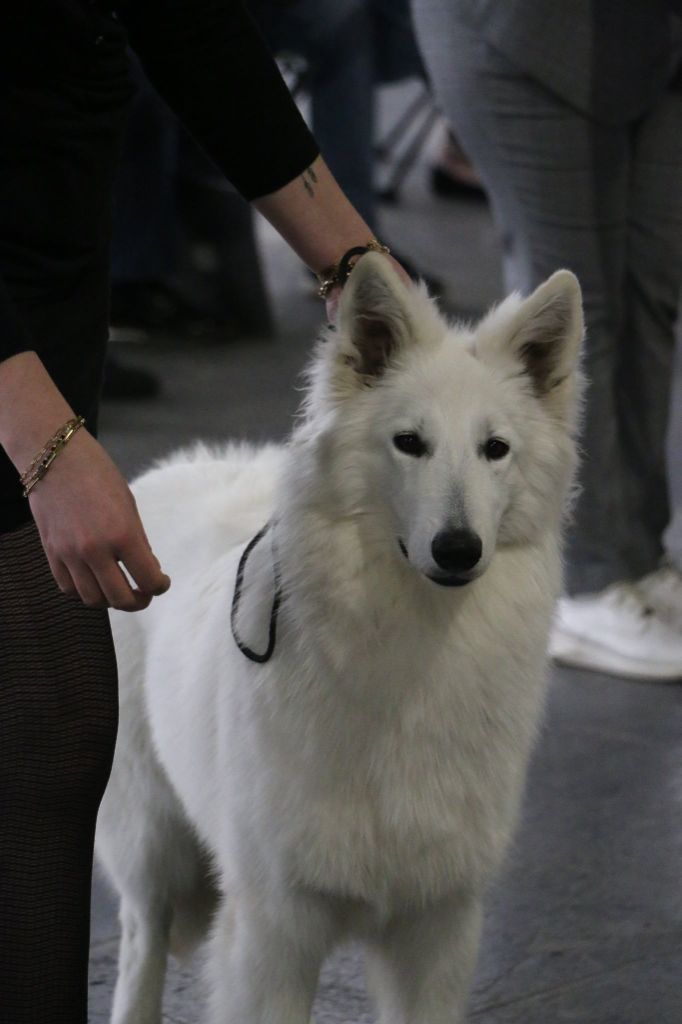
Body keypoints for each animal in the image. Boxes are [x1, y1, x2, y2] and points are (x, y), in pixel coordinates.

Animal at [96, 251, 577, 1019]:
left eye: (495, 449)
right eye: (409, 443)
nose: (458, 549)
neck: (412, 650)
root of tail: (162, 473)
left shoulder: (438, 930)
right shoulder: (275, 932)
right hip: (149, 841)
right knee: (141, 942)